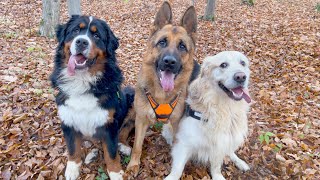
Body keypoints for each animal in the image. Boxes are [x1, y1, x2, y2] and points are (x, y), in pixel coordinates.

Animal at [49, 15, 134, 180]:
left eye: (96, 36)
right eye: (76, 30)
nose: (81, 42)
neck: (82, 80)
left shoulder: (109, 124)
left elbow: (111, 153)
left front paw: (115, 173)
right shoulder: (68, 119)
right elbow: (73, 148)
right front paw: (72, 168)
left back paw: (123, 146)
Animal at [165, 51, 252, 180]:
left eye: (243, 63)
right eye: (223, 65)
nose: (241, 77)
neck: (222, 108)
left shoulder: (220, 142)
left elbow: (216, 166)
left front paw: (218, 176)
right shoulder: (184, 143)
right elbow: (177, 169)